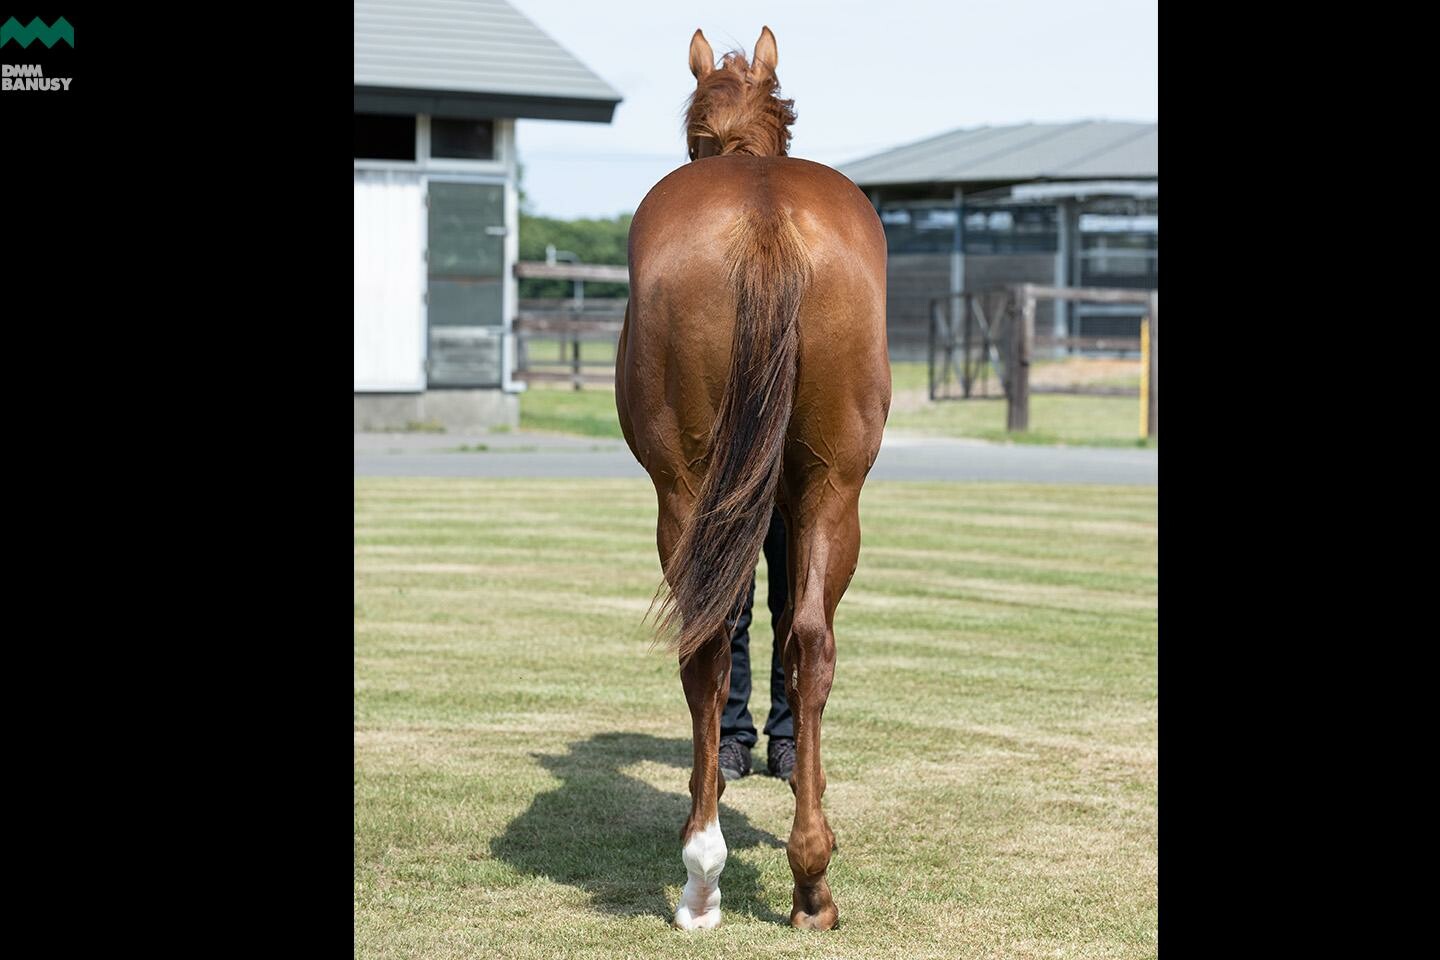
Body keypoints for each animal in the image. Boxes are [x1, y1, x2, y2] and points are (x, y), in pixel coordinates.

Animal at [616, 28, 887, 932]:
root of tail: (763, 217)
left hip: (692, 493)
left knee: (720, 637)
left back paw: (708, 872)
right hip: (831, 487)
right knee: (806, 637)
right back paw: (802, 877)